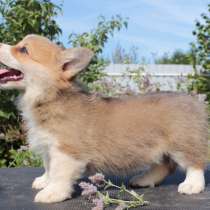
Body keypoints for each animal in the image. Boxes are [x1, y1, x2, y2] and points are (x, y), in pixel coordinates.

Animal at [0, 34, 208, 203]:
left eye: (23, 50)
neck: (49, 96)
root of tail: (195, 101)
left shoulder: (66, 151)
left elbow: (59, 172)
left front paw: (52, 192)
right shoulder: (48, 147)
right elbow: (48, 166)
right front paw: (44, 181)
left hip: (183, 142)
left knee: (194, 163)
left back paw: (192, 185)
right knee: (164, 165)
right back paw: (144, 179)